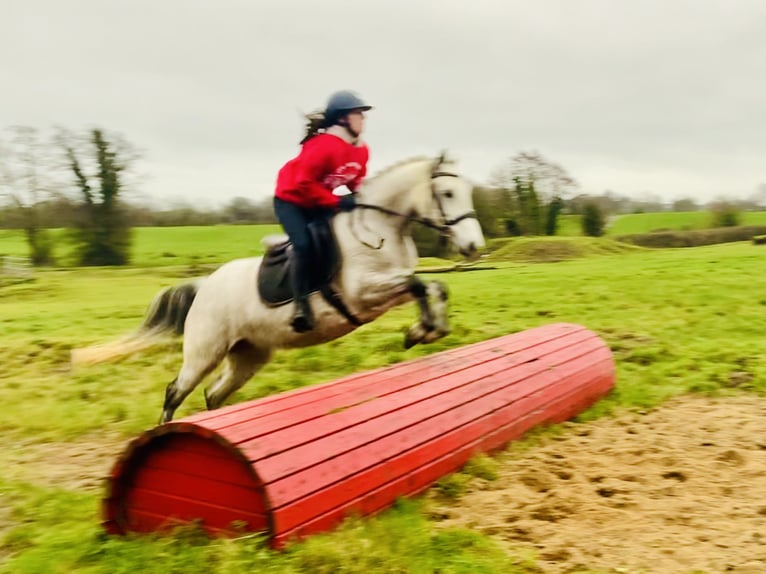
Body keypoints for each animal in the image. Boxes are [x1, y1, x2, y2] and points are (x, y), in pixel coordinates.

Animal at [72, 151, 486, 426]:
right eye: (447, 193)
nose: (472, 247)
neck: (382, 227)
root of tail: (203, 287)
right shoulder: (364, 294)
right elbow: (419, 284)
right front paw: (422, 331)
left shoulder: (385, 290)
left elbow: (432, 286)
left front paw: (426, 330)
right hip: (205, 351)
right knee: (176, 390)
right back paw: (165, 431)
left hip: (248, 355)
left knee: (213, 393)